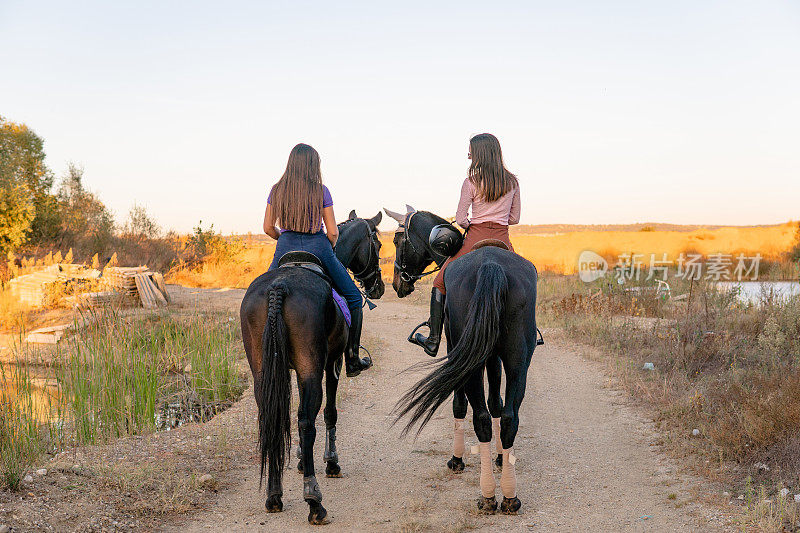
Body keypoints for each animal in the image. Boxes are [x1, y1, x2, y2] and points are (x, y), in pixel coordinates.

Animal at [241, 213, 384, 524]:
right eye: (377, 244)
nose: (379, 286)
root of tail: (278, 288)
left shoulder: (294, 370)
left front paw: (297, 458)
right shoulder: (332, 363)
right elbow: (329, 413)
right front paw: (331, 462)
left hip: (264, 373)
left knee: (272, 418)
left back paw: (274, 495)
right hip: (313, 370)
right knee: (307, 422)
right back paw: (314, 500)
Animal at [386, 209, 540, 516]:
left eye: (398, 240)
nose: (398, 283)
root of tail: (492, 265)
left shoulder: (456, 348)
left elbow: (460, 404)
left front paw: (457, 459)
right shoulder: (491, 356)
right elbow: (496, 403)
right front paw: (499, 457)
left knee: (480, 417)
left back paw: (488, 495)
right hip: (518, 359)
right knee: (509, 417)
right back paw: (509, 496)